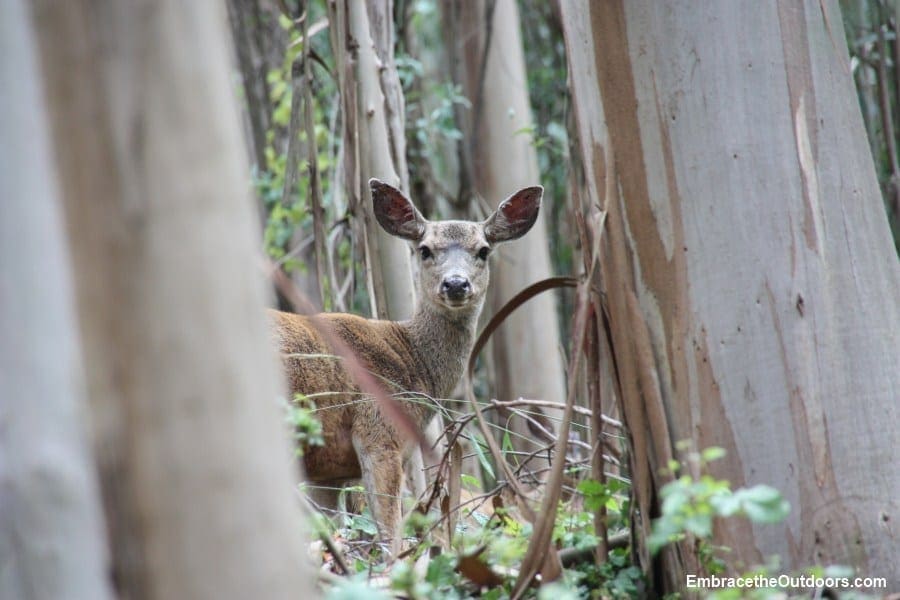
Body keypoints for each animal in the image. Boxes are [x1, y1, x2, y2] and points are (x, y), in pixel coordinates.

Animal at [270, 177, 540, 548]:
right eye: (424, 249)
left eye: (484, 250)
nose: (456, 283)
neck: (414, 360)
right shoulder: (379, 433)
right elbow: (389, 534)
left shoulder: (327, 471)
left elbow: (332, 529)